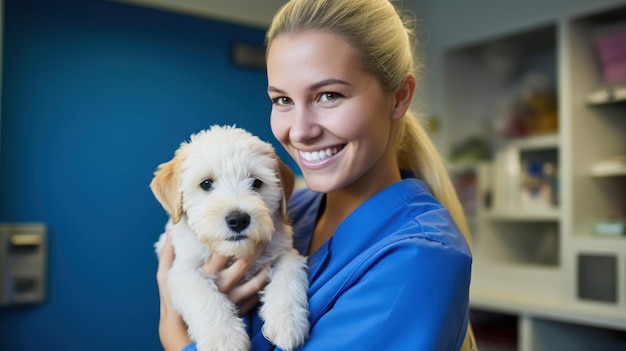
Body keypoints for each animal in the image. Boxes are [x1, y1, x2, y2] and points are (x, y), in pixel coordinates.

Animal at [150, 126, 308, 351]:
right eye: (206, 183)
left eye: (256, 182)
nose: (238, 220)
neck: (233, 253)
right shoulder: (182, 272)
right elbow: (204, 296)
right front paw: (224, 338)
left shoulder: (285, 252)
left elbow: (287, 277)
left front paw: (287, 321)